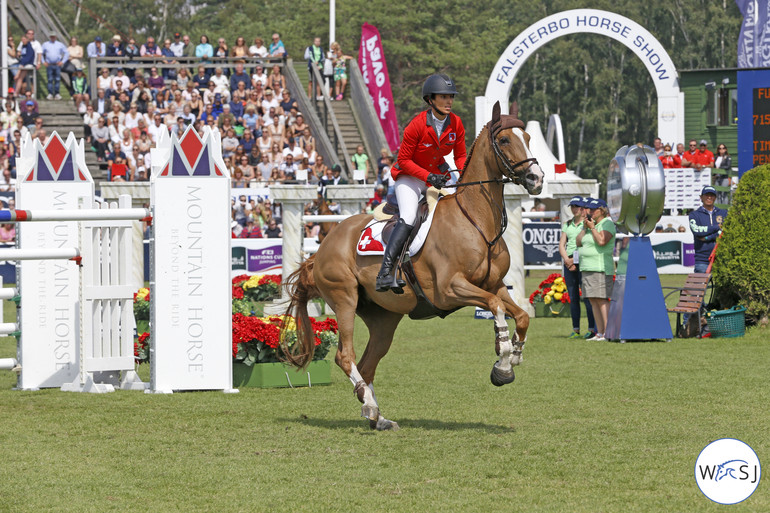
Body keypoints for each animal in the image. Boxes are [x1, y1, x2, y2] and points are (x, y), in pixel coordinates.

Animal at [280, 102, 540, 430]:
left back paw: (377, 416)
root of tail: (325, 244)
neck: (475, 221)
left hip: (384, 318)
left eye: (528, 138)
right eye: (505, 140)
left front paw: (512, 356)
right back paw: (370, 407)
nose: (537, 178)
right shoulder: (450, 289)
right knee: (345, 356)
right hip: (344, 299)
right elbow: (496, 307)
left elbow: (520, 315)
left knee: (367, 363)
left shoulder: (492, 285)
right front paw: (503, 361)